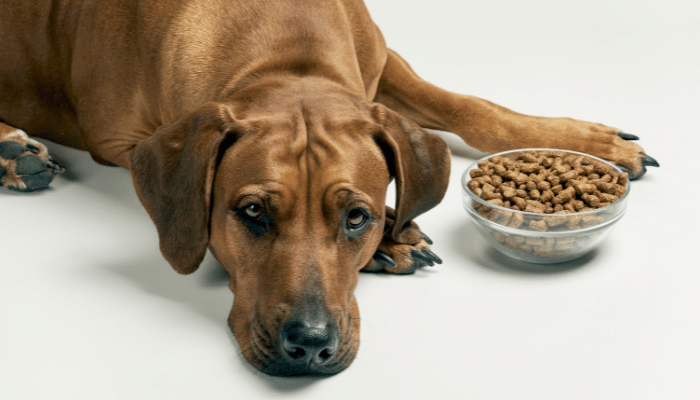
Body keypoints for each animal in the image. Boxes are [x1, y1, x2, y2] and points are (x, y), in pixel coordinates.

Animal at [0, 0, 660, 376]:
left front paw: (586, 142)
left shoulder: (382, 58)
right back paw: (13, 149)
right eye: (252, 212)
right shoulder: (120, 138)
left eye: (355, 218)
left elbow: (467, 105)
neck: (285, 53)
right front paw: (397, 238)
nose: (310, 346)